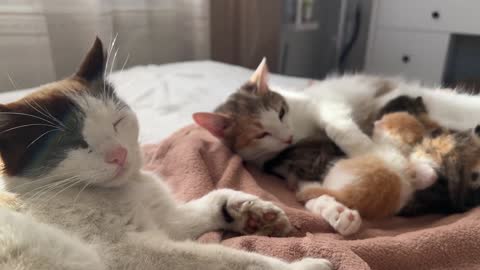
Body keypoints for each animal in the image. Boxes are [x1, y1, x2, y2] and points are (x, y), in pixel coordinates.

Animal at [0, 38, 332, 270]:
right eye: (74, 142)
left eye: (116, 121)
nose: (119, 154)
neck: (128, 190)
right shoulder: (127, 252)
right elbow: (223, 257)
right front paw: (304, 266)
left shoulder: (161, 217)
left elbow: (196, 209)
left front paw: (249, 210)